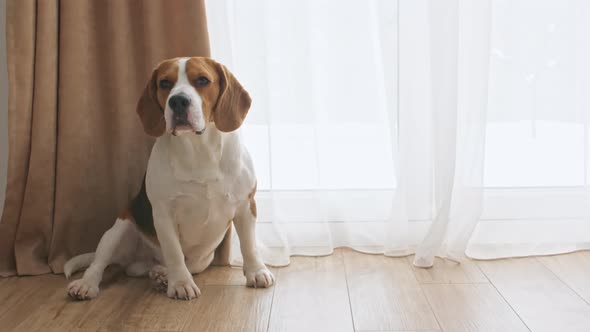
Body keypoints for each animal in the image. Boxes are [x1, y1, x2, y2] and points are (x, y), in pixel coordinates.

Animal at [65, 57, 276, 300]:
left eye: (202, 80)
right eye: (164, 83)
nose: (178, 101)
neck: (198, 149)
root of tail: (136, 259)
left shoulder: (245, 206)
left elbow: (249, 245)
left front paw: (257, 272)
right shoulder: (163, 212)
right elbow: (174, 252)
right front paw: (181, 283)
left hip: (200, 260)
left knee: (152, 267)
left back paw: (160, 275)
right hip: (118, 228)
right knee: (99, 263)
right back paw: (86, 284)